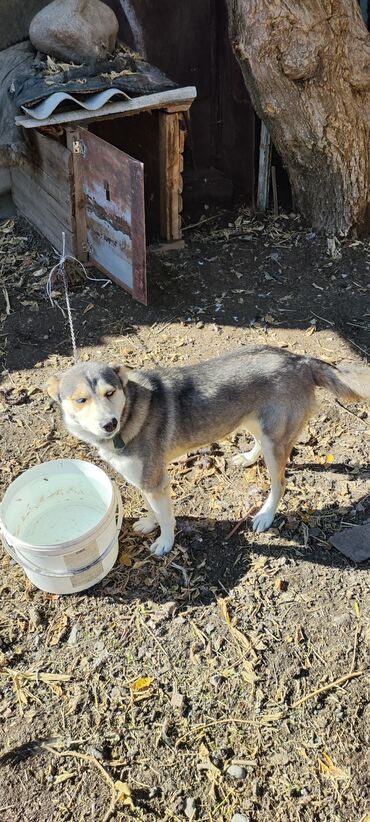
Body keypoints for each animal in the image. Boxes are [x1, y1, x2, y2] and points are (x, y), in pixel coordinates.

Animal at [46, 344, 370, 556]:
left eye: (109, 393)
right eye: (81, 400)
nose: (108, 424)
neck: (131, 411)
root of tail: (300, 359)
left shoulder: (155, 480)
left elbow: (166, 518)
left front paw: (165, 542)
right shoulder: (145, 480)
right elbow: (152, 508)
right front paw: (149, 523)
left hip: (275, 442)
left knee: (280, 484)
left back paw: (265, 515)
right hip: (255, 424)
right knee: (259, 444)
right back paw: (247, 458)